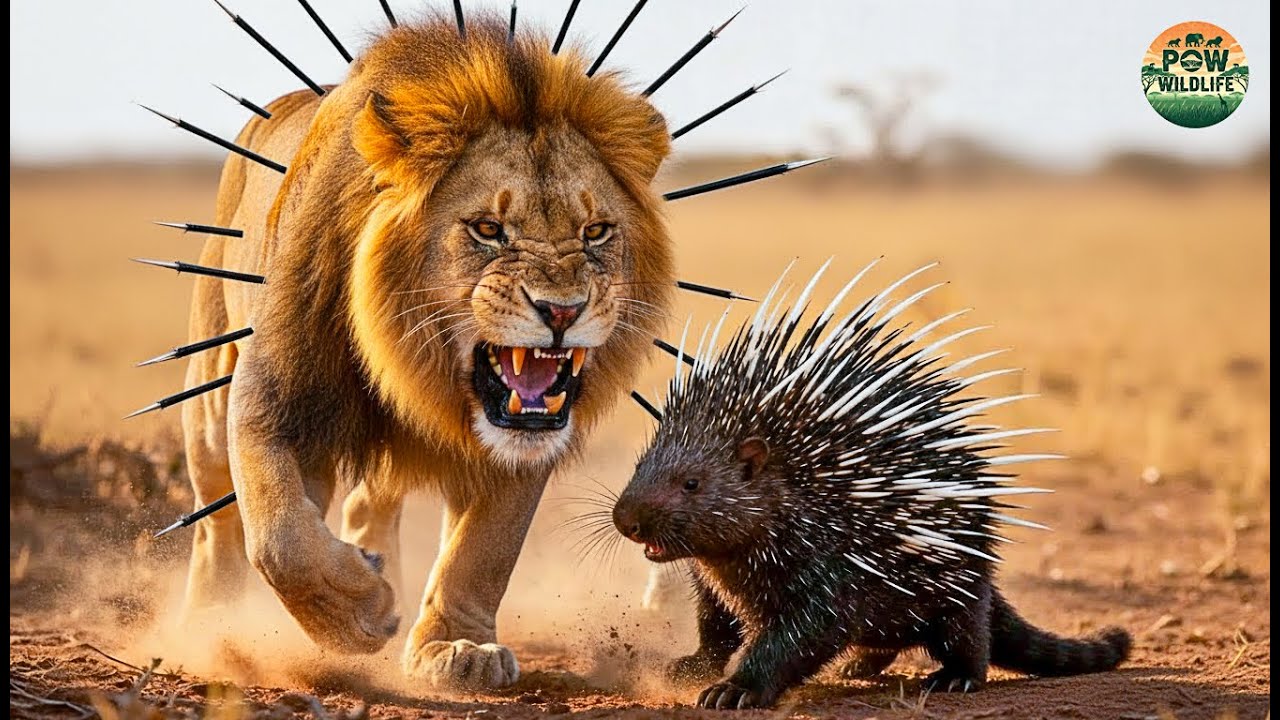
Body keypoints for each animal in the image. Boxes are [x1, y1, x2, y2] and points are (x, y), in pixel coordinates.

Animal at [180, 15, 672, 688]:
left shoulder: (525, 439)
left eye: (596, 232)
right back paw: (209, 621)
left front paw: (456, 648)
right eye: (487, 229)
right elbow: (280, 537)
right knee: (219, 520)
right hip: (208, 391)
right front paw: (359, 616)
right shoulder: (274, 396)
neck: (415, 361)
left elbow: (483, 551)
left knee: (371, 500)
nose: (562, 312)